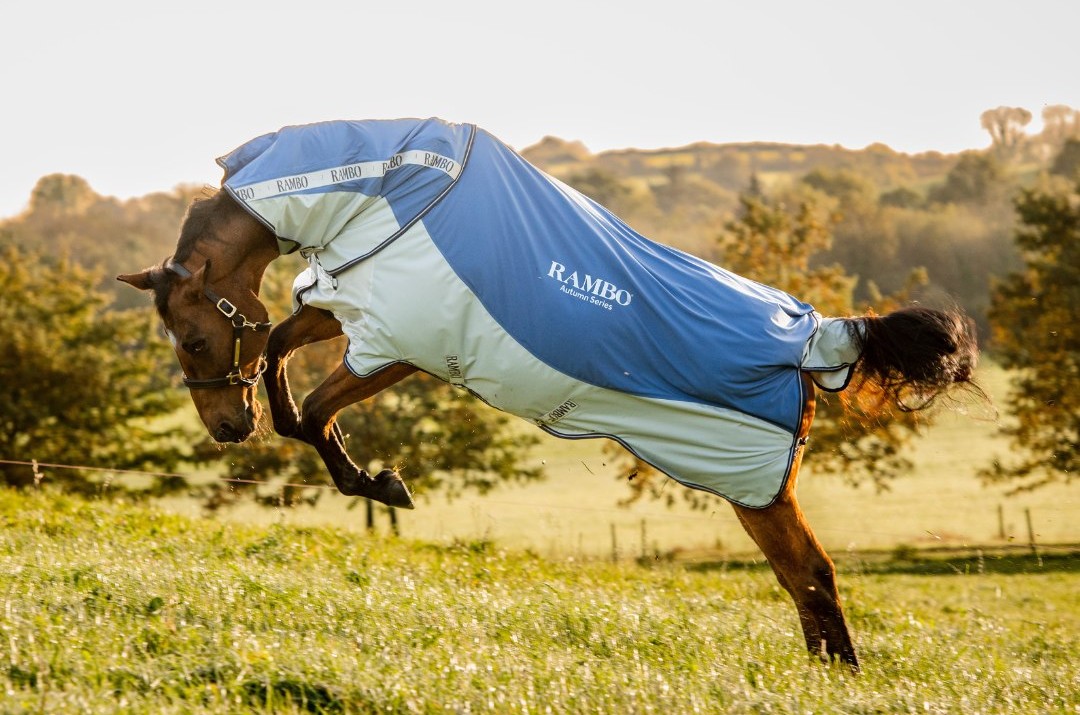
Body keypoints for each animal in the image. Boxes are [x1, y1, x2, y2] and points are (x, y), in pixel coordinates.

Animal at [119, 118, 978, 672]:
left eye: (192, 340)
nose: (225, 430)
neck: (389, 186)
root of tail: (812, 339)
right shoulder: (350, 307)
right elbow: (282, 372)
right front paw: (375, 477)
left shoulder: (400, 344)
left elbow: (304, 410)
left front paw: (380, 481)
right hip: (755, 488)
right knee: (808, 582)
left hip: (755, 485)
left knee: (813, 577)